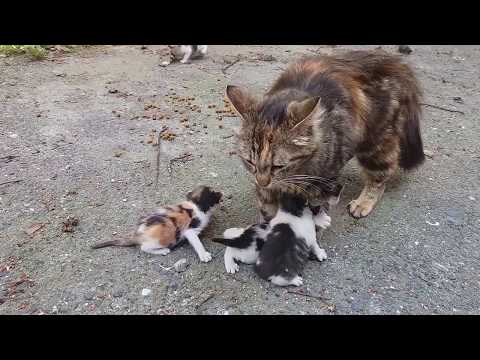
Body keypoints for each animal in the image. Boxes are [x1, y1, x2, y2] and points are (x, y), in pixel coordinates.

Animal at [225, 49, 424, 221]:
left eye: (277, 166)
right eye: (249, 162)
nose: (262, 181)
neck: (299, 169)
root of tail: (395, 61)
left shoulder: (324, 179)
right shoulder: (266, 190)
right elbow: (268, 209)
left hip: (375, 142)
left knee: (382, 174)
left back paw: (364, 201)